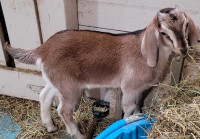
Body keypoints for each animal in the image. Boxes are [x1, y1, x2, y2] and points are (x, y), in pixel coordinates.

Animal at [4, 6, 198, 139]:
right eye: (163, 33)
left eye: (186, 25)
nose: (183, 50)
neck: (146, 53)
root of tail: (42, 50)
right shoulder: (130, 88)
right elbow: (129, 109)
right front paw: (127, 121)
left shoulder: (141, 89)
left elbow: (138, 107)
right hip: (70, 87)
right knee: (63, 110)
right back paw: (78, 135)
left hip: (58, 81)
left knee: (44, 95)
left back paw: (50, 126)